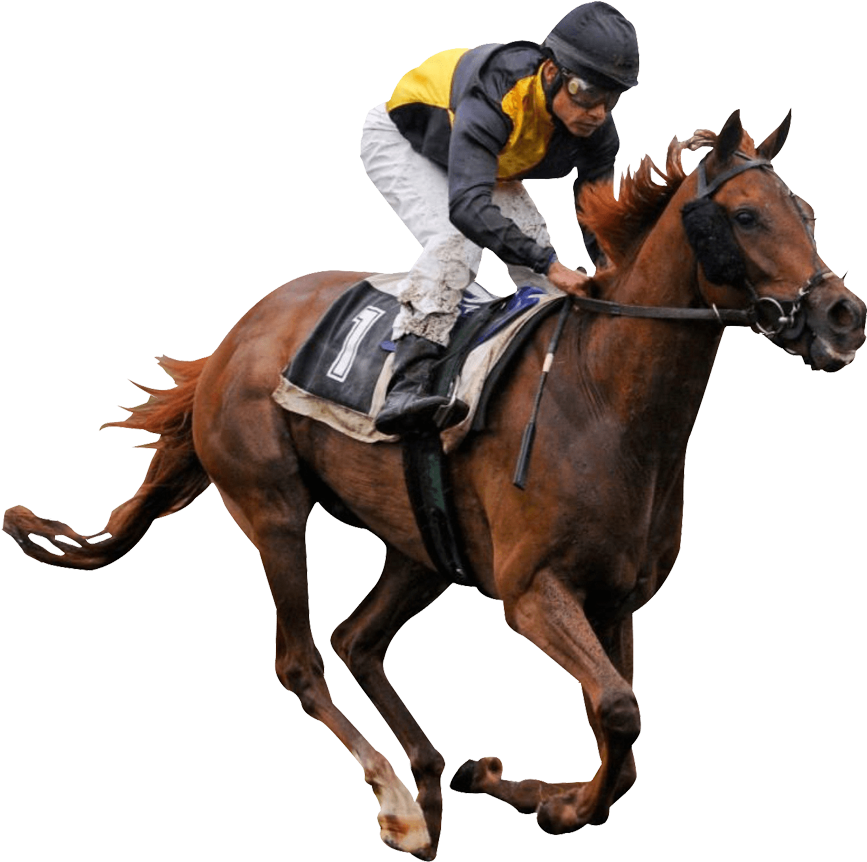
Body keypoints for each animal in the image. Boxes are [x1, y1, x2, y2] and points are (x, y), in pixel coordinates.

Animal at [3, 109, 864, 858]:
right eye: (746, 216)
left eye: (807, 212)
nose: (841, 315)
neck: (604, 400)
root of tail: (234, 338)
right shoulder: (534, 592)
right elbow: (619, 712)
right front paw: (551, 803)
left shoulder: (616, 601)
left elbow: (617, 735)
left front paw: (515, 785)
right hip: (270, 506)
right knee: (302, 662)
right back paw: (399, 806)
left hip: (420, 546)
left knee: (357, 640)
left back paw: (427, 781)